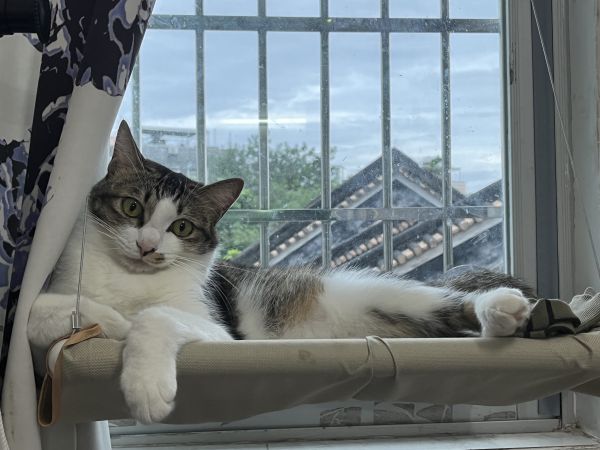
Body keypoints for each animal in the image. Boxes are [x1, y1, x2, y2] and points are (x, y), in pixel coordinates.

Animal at [27, 121, 536, 424]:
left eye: (181, 227)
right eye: (132, 207)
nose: (147, 246)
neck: (130, 279)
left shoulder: (217, 330)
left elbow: (156, 317)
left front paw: (146, 385)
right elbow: (38, 312)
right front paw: (110, 321)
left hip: (395, 296)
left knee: (457, 303)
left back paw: (502, 308)